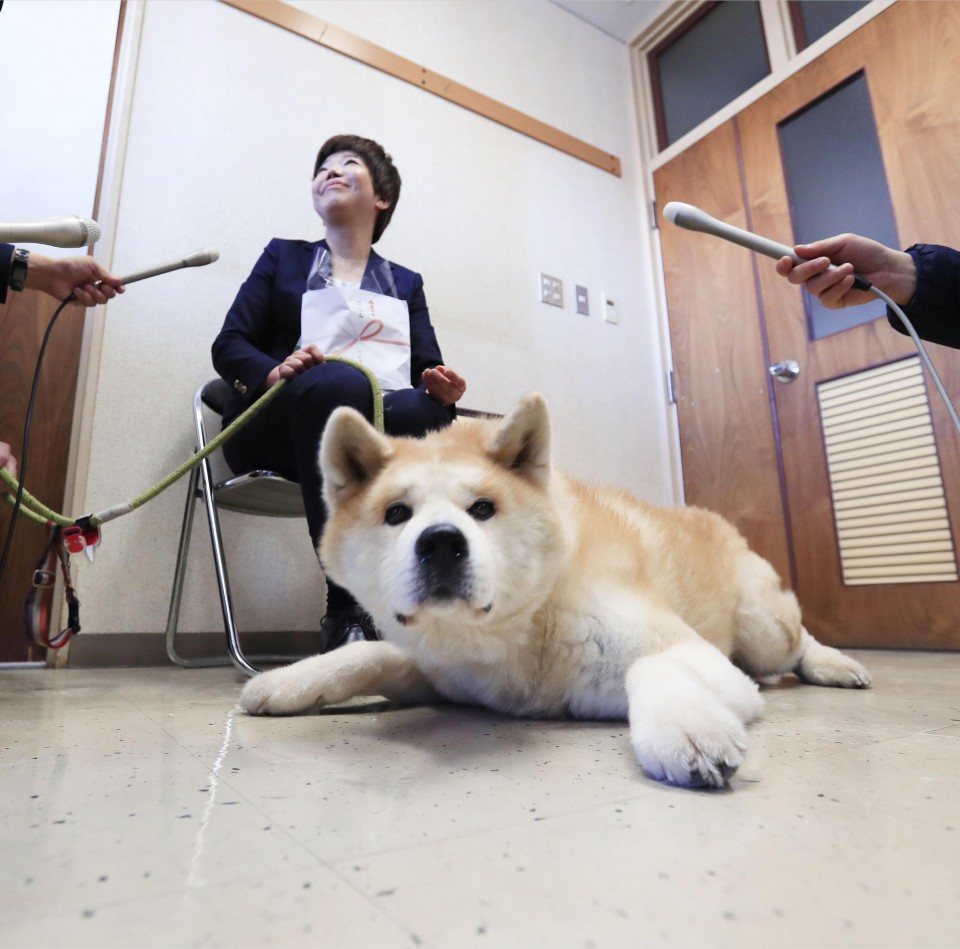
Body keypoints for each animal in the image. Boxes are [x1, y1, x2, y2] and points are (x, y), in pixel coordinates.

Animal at [240, 392, 872, 784]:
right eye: (397, 514)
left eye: (483, 508)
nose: (440, 543)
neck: (524, 626)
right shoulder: (443, 674)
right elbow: (367, 653)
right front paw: (286, 682)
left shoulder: (699, 657)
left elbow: (652, 665)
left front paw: (691, 730)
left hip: (761, 632)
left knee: (797, 641)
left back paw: (836, 664)